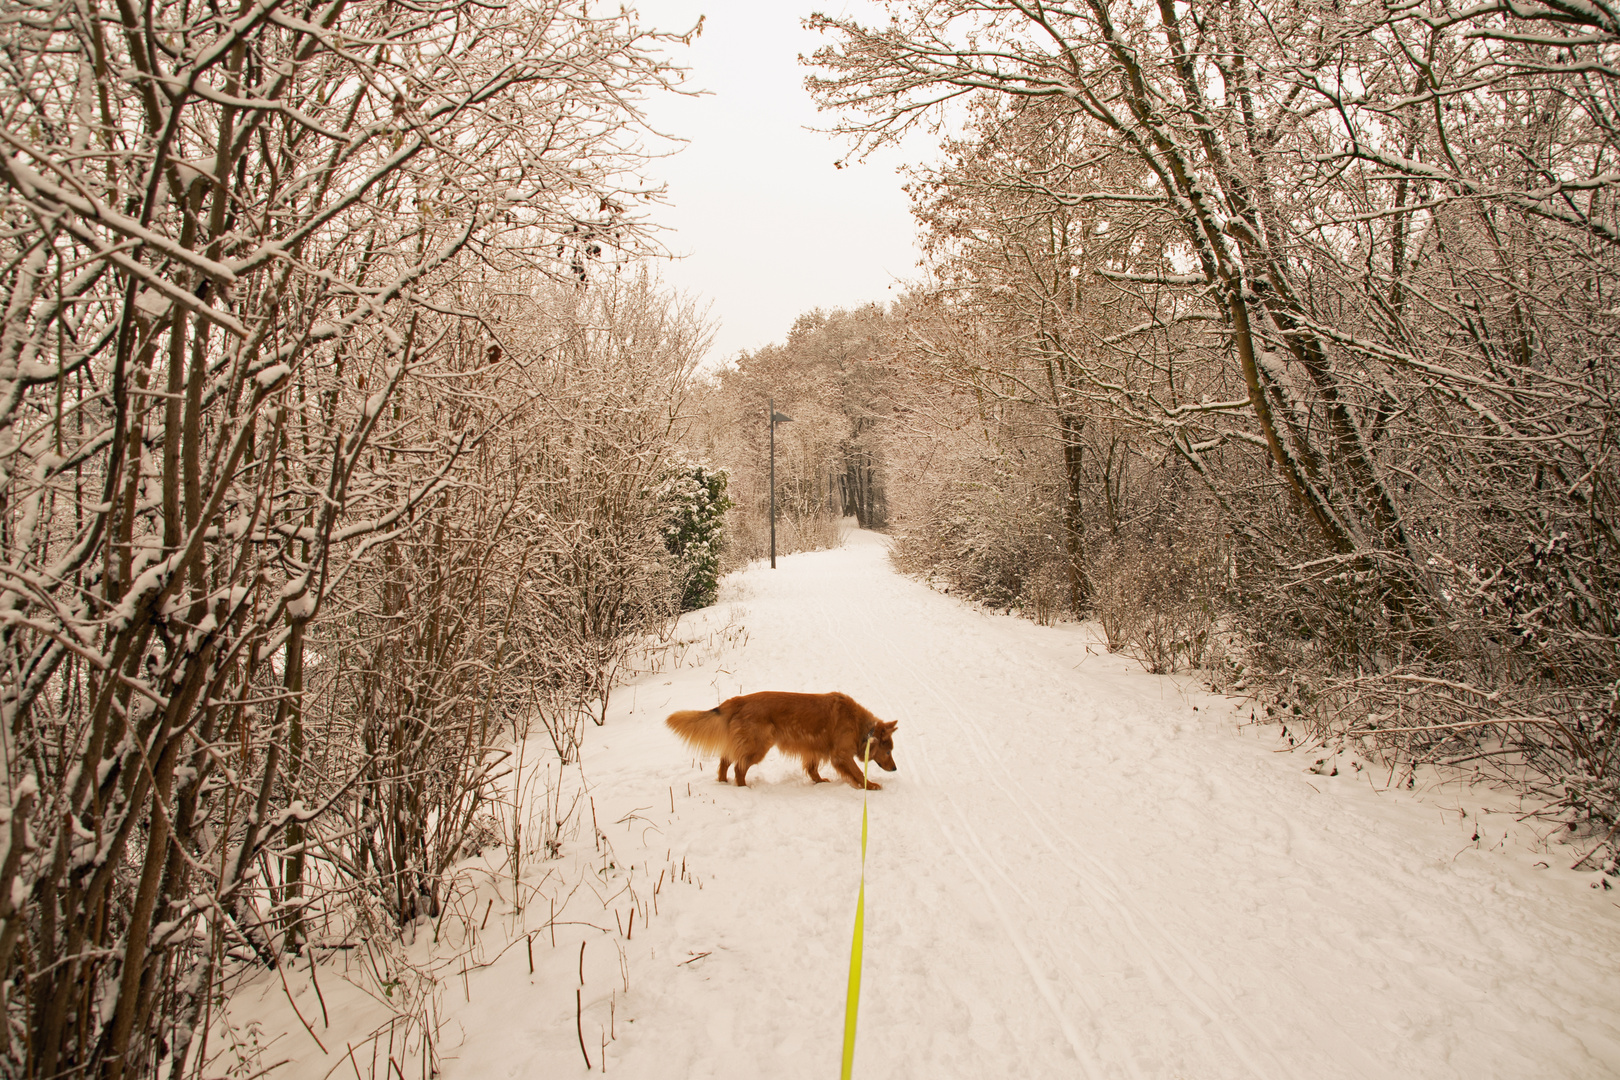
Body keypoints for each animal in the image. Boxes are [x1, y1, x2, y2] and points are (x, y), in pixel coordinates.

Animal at [667, 696, 900, 790]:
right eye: (889, 752)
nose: (895, 768)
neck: (862, 728)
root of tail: (736, 700)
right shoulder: (841, 755)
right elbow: (858, 773)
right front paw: (870, 786)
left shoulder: (814, 750)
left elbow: (813, 769)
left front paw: (819, 782)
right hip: (758, 747)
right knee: (738, 767)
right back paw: (743, 788)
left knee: (725, 761)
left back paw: (724, 783)